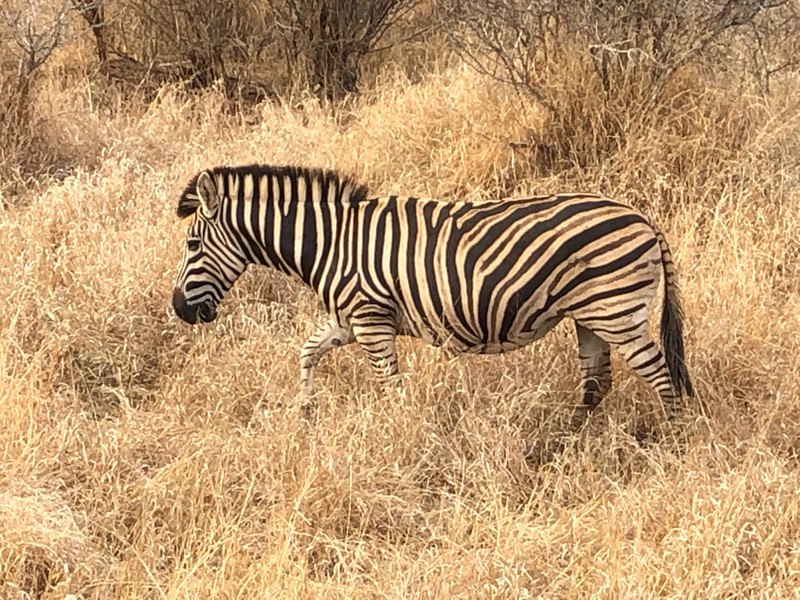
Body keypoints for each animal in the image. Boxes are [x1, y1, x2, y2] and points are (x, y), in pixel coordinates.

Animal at [170, 164, 692, 426]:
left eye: (192, 245)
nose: (179, 310)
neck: (331, 243)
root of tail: (643, 218)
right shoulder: (349, 320)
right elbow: (307, 351)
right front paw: (306, 412)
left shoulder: (371, 320)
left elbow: (390, 386)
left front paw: (398, 436)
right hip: (590, 315)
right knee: (597, 381)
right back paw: (565, 441)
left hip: (618, 309)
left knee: (659, 374)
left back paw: (668, 441)